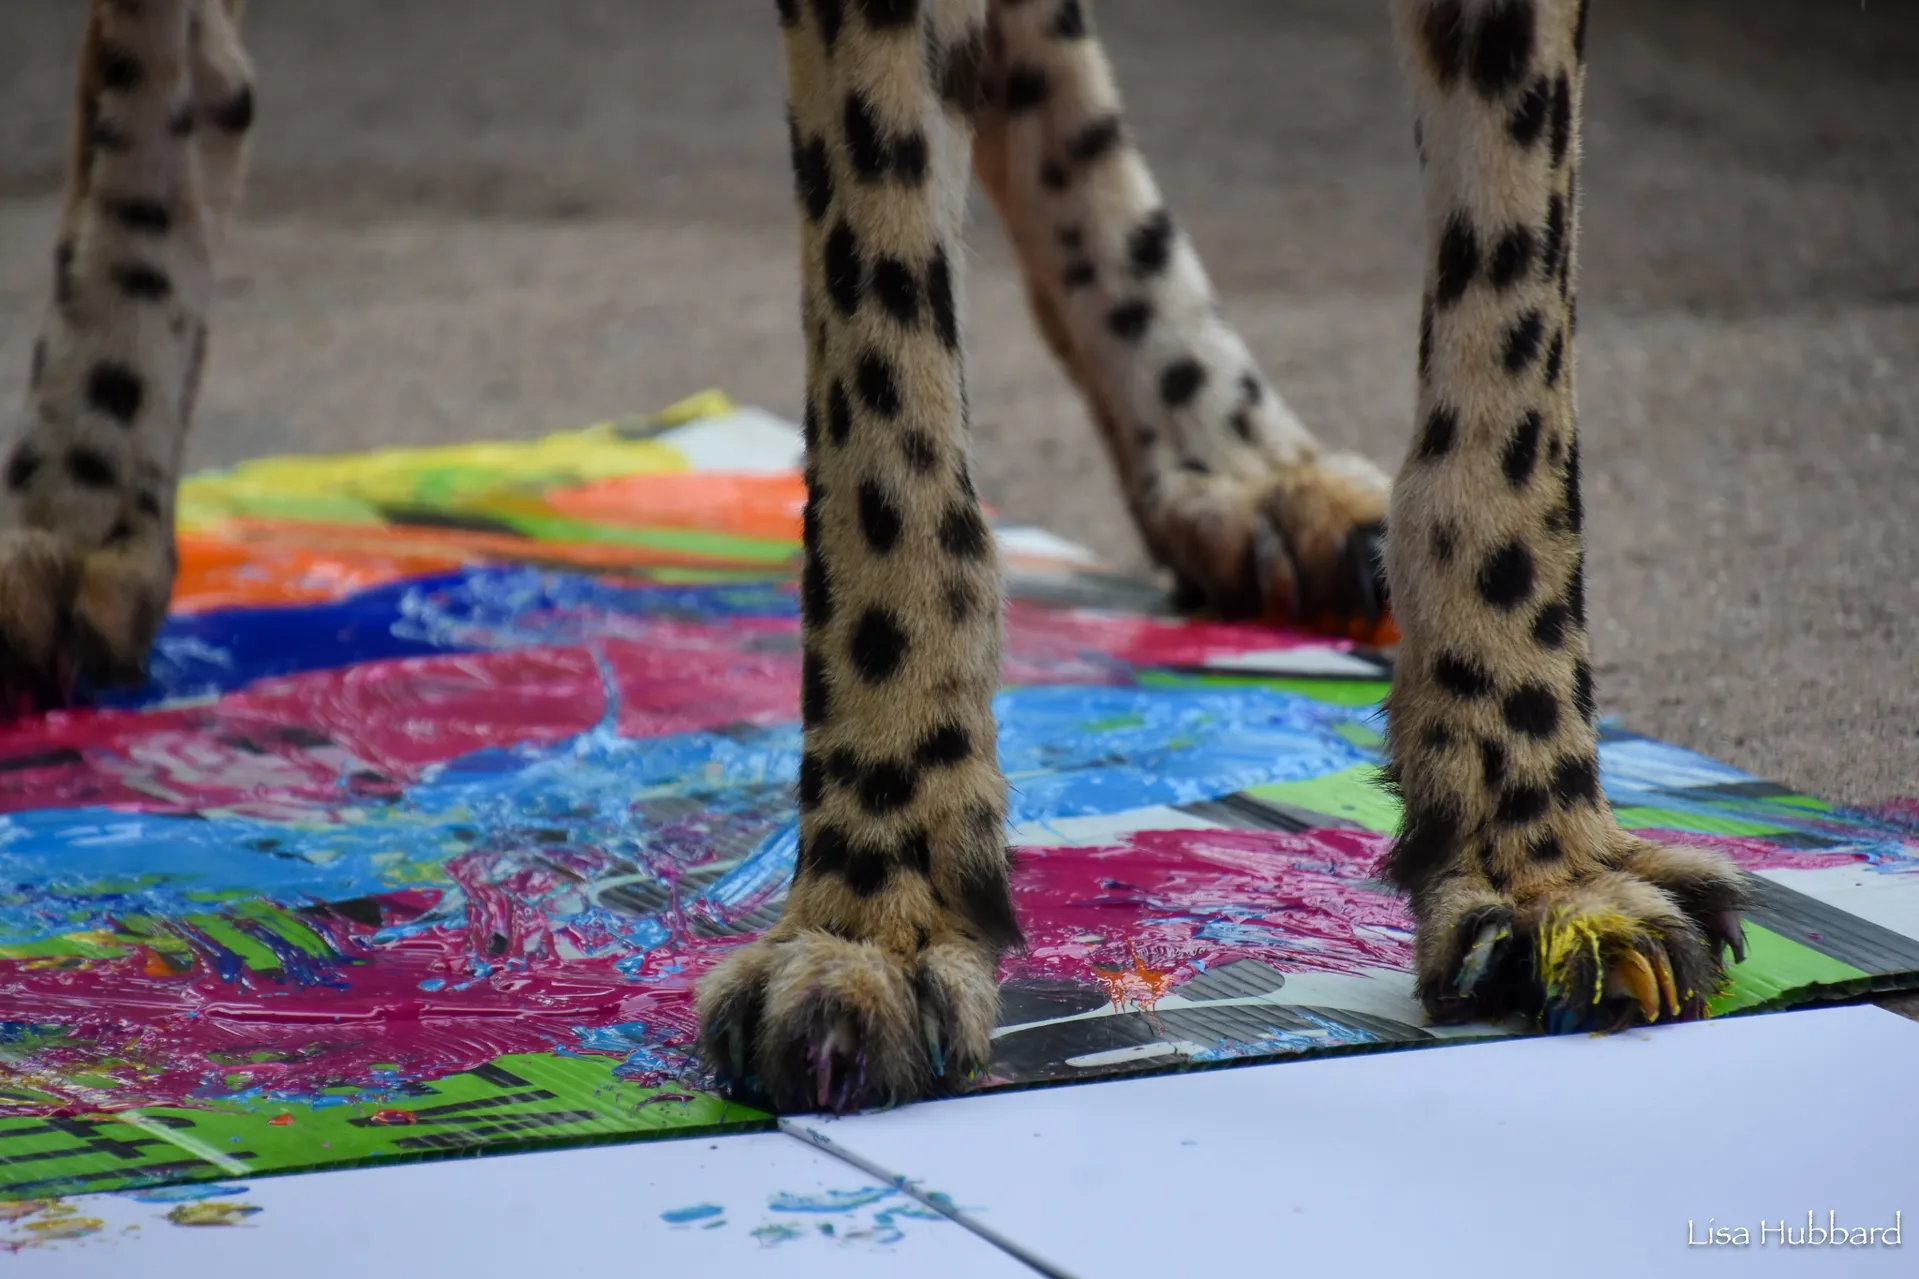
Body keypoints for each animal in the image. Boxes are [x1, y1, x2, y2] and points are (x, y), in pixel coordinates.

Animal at [4, 0, 1748, 1114]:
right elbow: (883, 372)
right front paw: (883, 898)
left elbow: (1509, 332)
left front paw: (1534, 847)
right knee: (161, 58)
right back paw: (79, 502)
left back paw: (1230, 443)